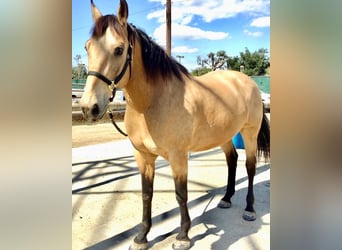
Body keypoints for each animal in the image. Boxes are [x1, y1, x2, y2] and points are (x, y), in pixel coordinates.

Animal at [79, 0, 270, 249]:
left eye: (119, 49)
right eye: (87, 47)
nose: (88, 107)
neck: (152, 103)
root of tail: (247, 81)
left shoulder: (178, 156)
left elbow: (181, 194)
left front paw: (183, 236)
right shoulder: (143, 156)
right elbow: (146, 194)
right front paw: (141, 237)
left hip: (249, 133)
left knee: (249, 166)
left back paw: (249, 208)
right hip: (224, 135)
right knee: (232, 160)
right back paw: (227, 198)